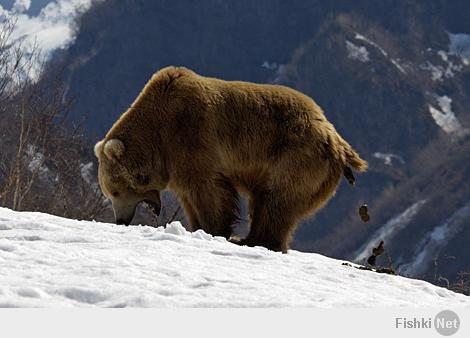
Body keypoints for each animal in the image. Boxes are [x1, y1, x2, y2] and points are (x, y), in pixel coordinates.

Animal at [94, 66, 368, 252]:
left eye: (115, 192)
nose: (120, 220)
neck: (157, 136)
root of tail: (335, 137)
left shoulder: (191, 135)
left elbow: (208, 190)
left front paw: (214, 229)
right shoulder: (174, 160)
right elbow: (189, 195)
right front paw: (196, 226)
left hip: (294, 154)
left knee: (277, 199)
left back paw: (256, 239)